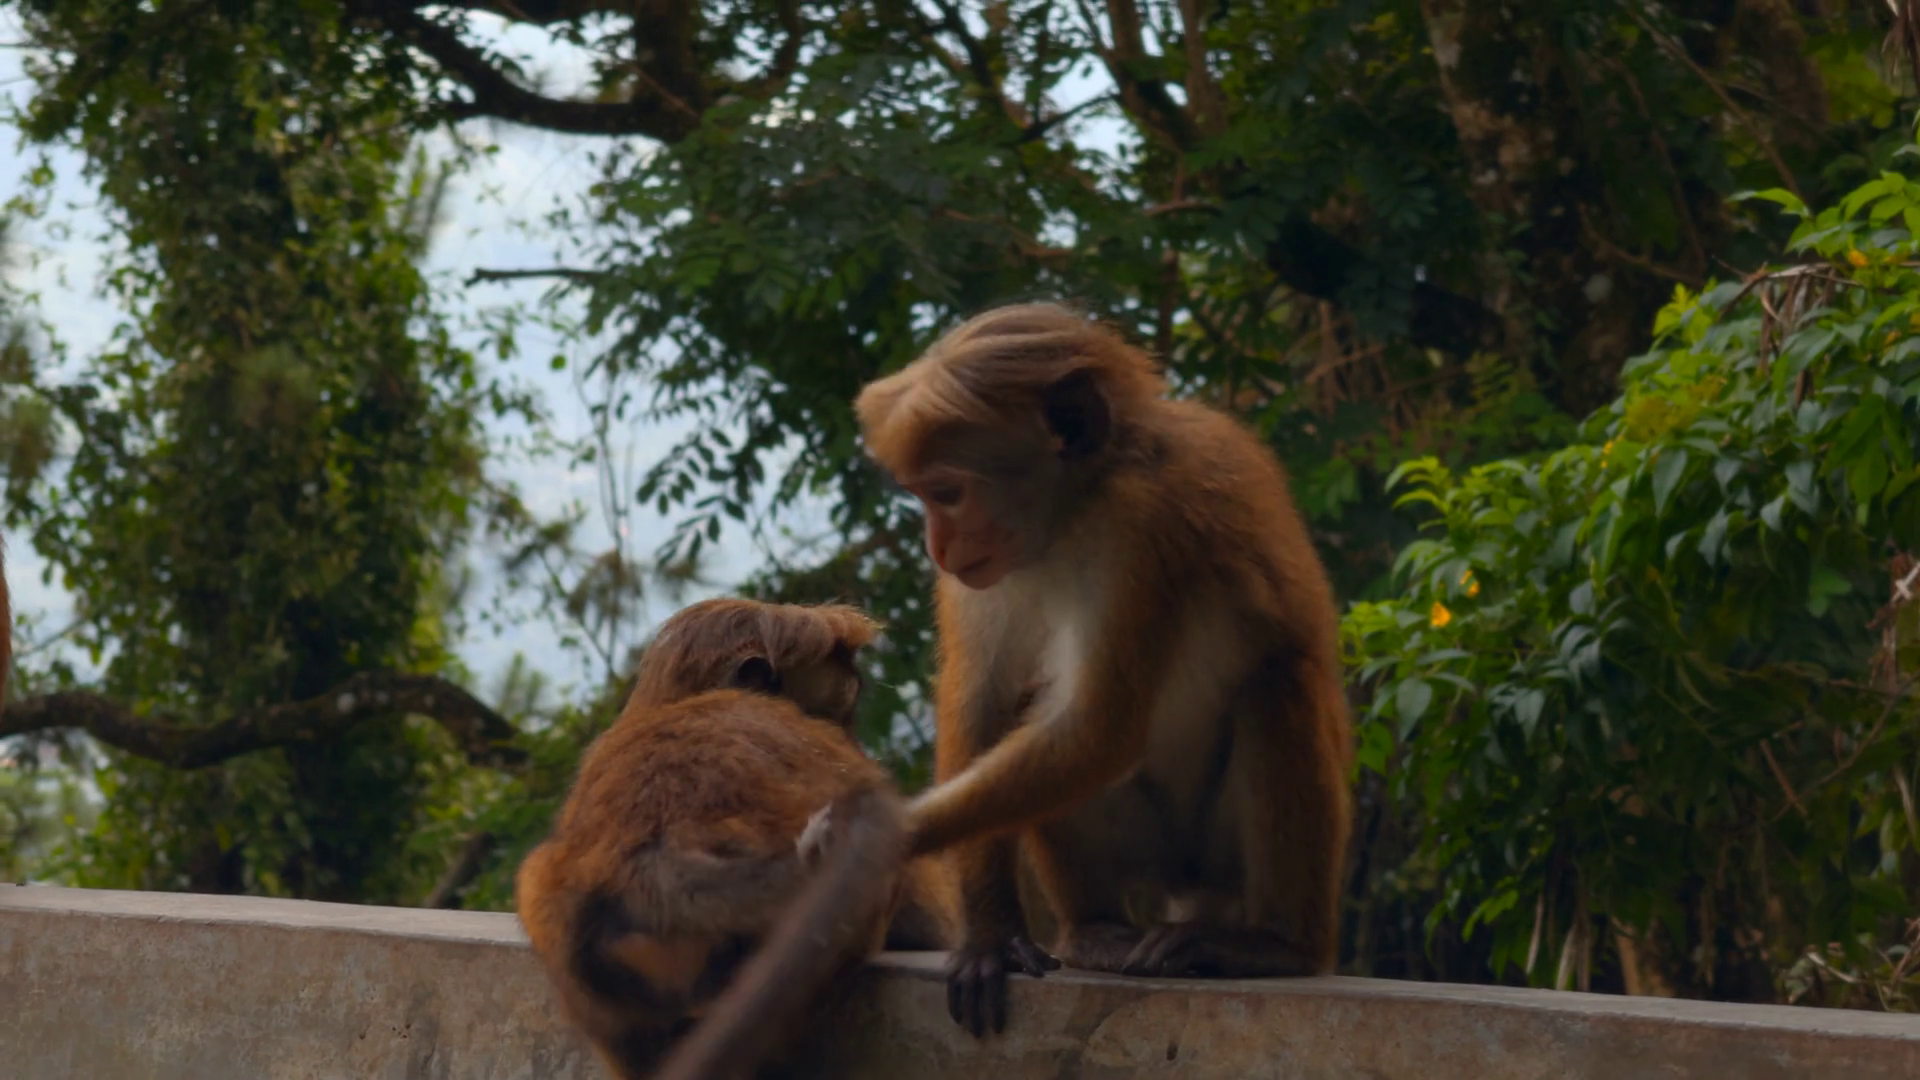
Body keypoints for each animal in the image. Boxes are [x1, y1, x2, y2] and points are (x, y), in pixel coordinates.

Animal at [853, 301, 1354, 1037]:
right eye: (921, 496)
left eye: (945, 493)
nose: (935, 547)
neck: (1072, 514)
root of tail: (1189, 882)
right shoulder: (987, 574)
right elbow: (987, 704)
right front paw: (991, 934)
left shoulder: (1140, 527)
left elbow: (1099, 729)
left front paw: (873, 839)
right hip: (1148, 847)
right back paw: (1094, 930)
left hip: (1227, 854)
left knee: (1275, 685)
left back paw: (1276, 946)